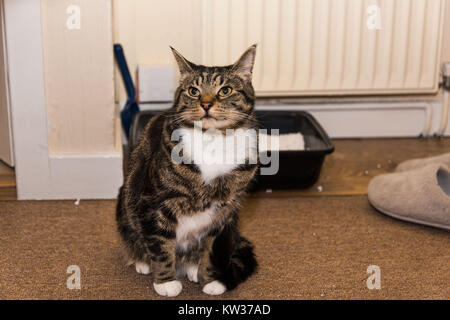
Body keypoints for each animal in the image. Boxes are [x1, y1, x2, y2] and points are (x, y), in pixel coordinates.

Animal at [114, 45, 258, 298]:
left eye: (225, 90)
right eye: (193, 91)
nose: (206, 104)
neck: (213, 140)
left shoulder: (224, 213)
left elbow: (211, 250)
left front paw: (212, 279)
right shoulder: (154, 204)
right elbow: (161, 245)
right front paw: (165, 282)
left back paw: (192, 267)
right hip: (125, 203)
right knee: (136, 238)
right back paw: (143, 262)